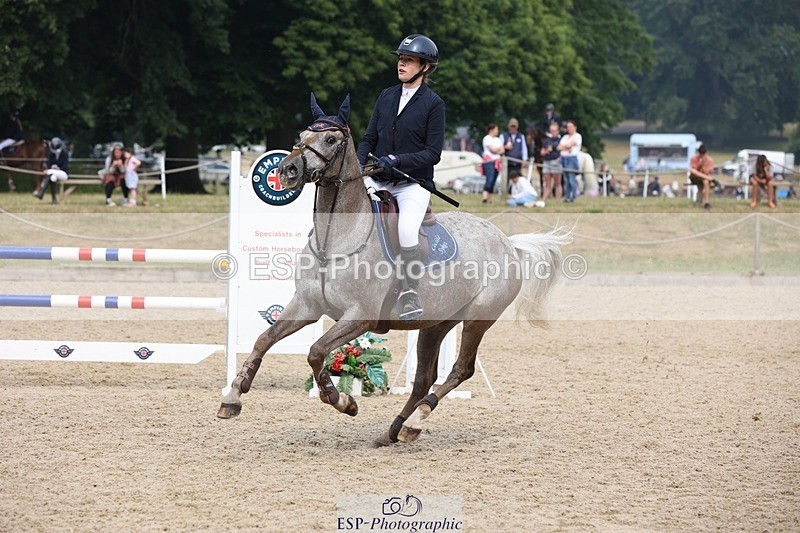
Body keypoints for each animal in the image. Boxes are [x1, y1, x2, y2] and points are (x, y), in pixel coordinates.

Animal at [217, 94, 571, 446]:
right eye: (302, 135)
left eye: (330, 139)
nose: (287, 170)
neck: (336, 239)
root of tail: (507, 242)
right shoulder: (306, 306)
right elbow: (264, 339)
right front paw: (233, 396)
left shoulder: (360, 317)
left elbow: (316, 352)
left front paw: (344, 401)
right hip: (436, 324)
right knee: (424, 377)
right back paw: (397, 429)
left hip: (478, 318)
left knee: (460, 369)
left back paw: (417, 417)